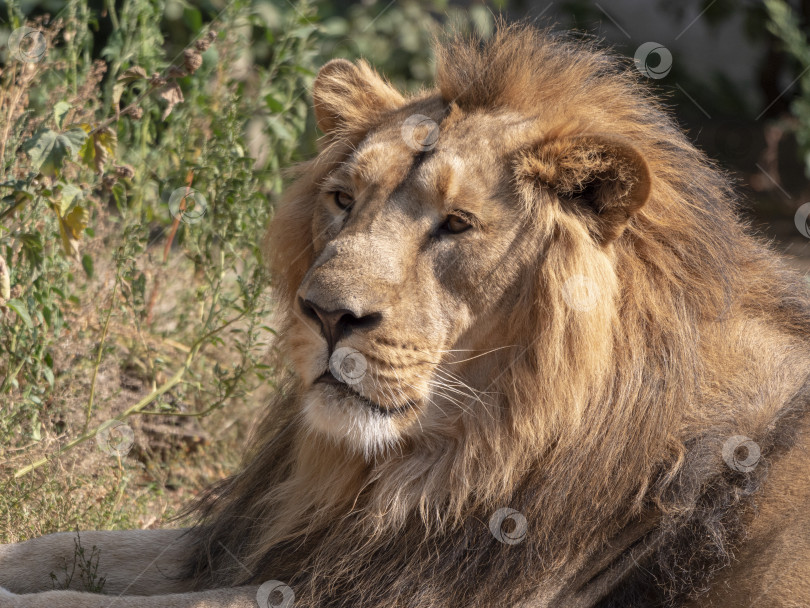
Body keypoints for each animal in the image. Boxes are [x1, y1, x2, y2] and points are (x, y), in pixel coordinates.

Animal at [1, 22, 808, 608]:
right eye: (342, 199)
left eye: (456, 224)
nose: (327, 315)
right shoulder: (275, 542)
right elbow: (61, 548)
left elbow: (78, 599)